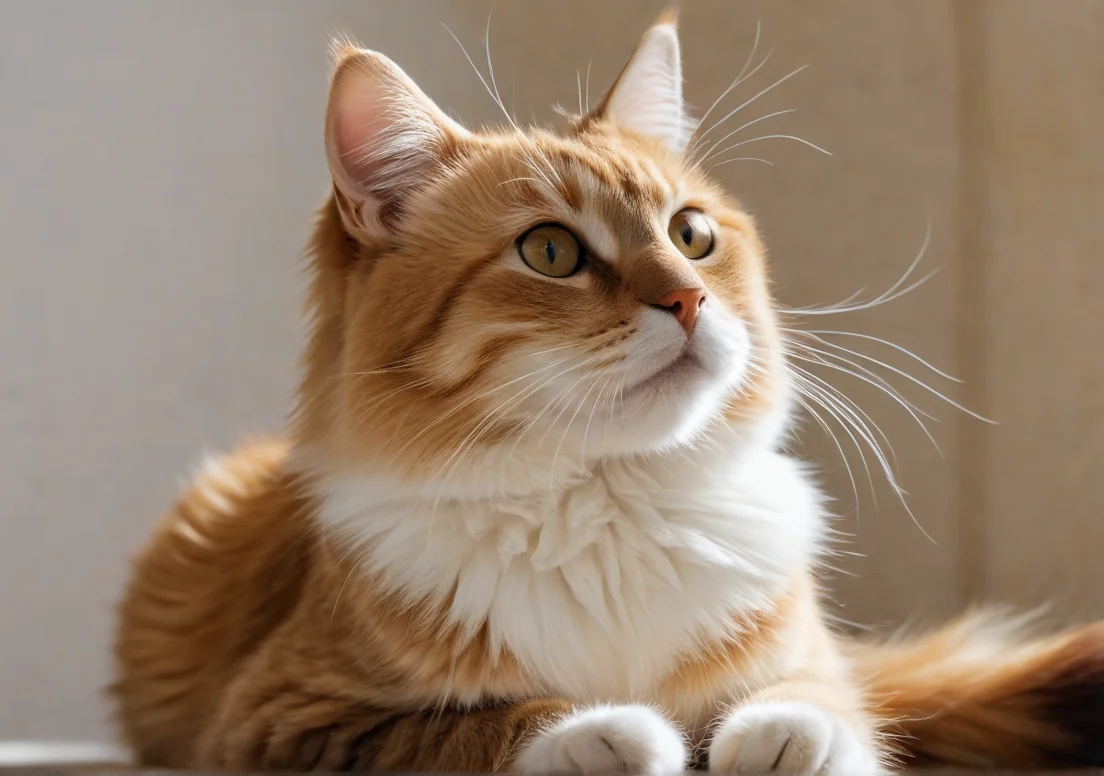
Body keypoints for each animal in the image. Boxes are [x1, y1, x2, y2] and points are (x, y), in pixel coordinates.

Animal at [109, 12, 1104, 776]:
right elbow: (479, 727)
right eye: (551, 251)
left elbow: (824, 701)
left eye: (692, 235)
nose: (690, 298)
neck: (610, 501)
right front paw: (610, 732)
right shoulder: (282, 720)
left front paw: (784, 737)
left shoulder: (816, 657)